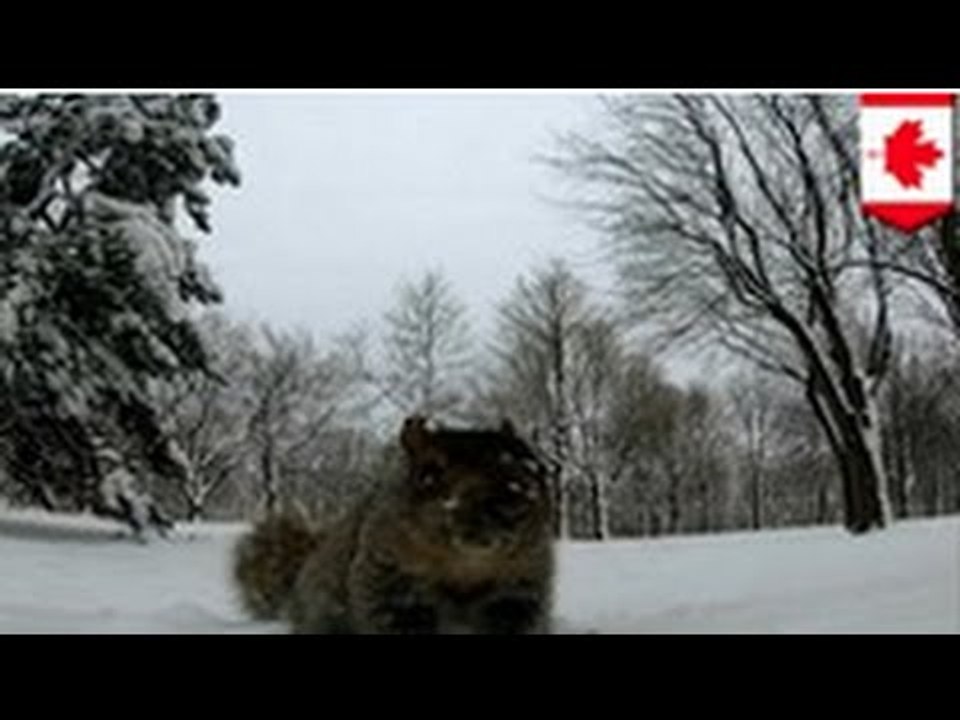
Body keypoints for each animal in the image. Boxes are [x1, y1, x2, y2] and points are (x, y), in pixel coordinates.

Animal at [231, 415, 556, 634]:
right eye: (430, 471)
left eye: (536, 465)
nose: (519, 494)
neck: (464, 564)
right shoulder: (389, 581)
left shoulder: (520, 586)